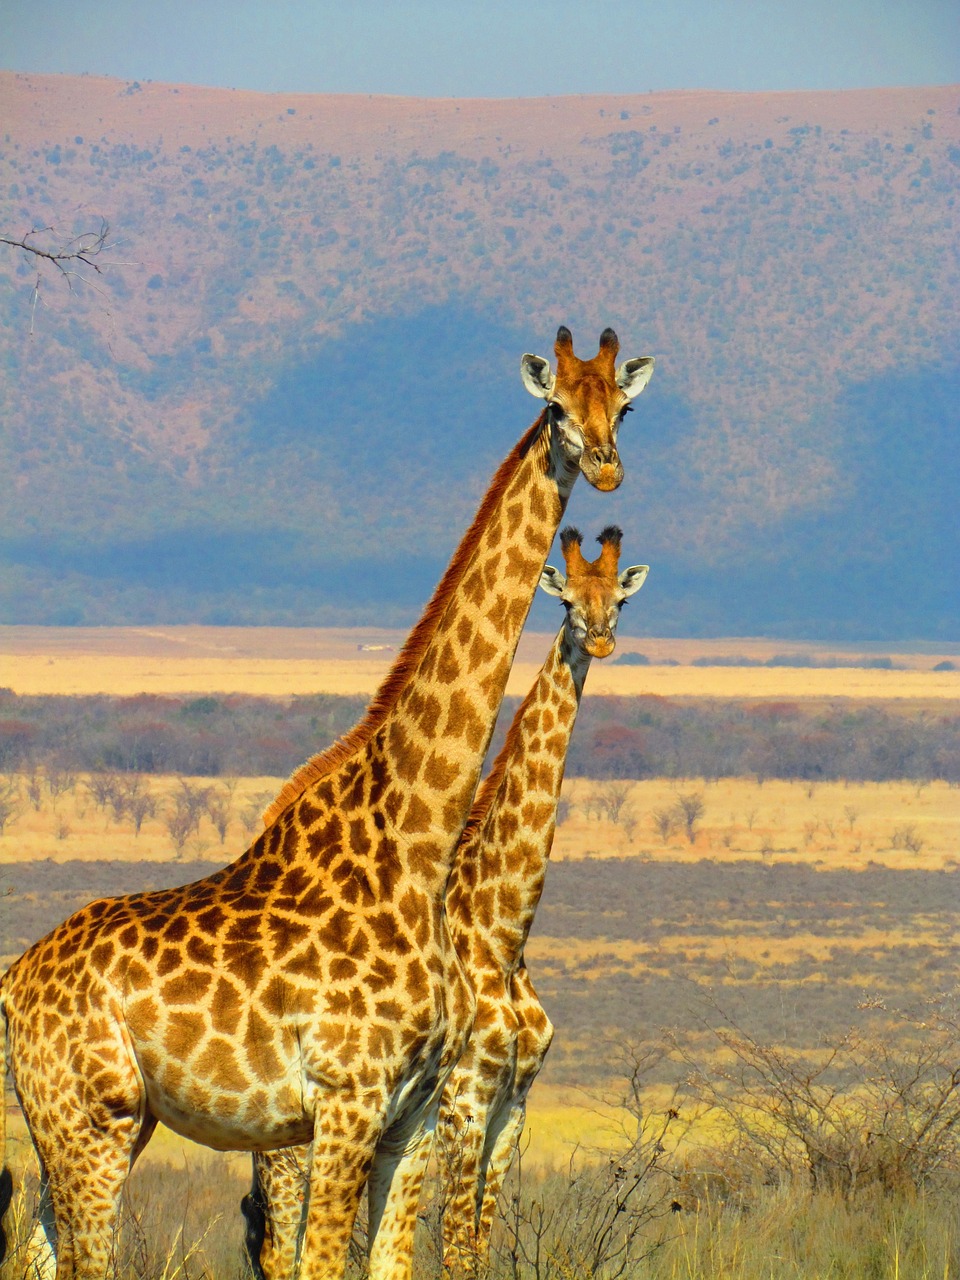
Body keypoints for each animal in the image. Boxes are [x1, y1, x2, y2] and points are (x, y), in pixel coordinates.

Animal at [244, 526, 649, 1280]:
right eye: (567, 600)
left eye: (621, 600)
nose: (601, 639)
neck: (504, 930)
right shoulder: (463, 1098)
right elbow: (456, 1249)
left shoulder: (513, 1104)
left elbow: (478, 1246)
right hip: (292, 1137)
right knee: (280, 1243)